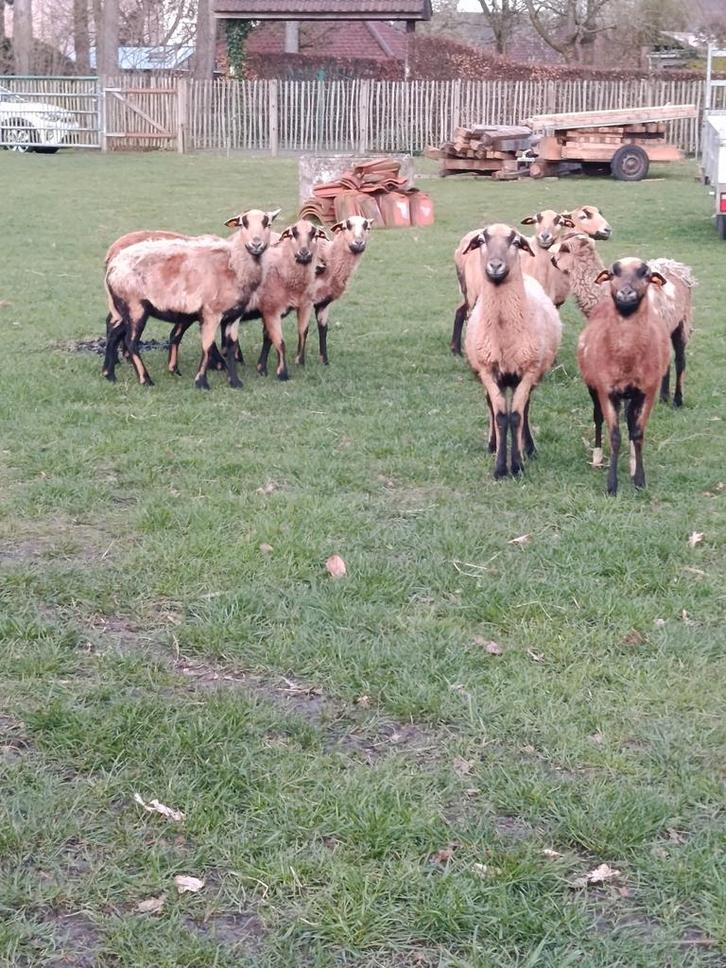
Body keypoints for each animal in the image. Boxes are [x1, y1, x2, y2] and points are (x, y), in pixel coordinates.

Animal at [103, 208, 280, 390]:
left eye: (268, 224)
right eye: (243, 224)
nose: (256, 244)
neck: (233, 266)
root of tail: (113, 265)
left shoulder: (234, 316)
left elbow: (231, 346)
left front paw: (235, 382)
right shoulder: (211, 313)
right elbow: (207, 346)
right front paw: (201, 382)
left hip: (122, 307)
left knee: (114, 333)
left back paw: (109, 374)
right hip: (134, 306)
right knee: (130, 341)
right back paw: (146, 380)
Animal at [463, 223, 563, 478]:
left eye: (516, 242)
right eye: (481, 240)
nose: (495, 266)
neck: (503, 333)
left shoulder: (528, 370)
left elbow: (516, 416)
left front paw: (516, 466)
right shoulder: (488, 370)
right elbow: (500, 416)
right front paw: (500, 468)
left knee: (525, 408)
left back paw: (528, 448)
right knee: (491, 405)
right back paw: (492, 444)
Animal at [550, 233, 696, 407]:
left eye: (565, 248)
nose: (552, 259)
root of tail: (676, 266)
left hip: (683, 320)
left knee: (680, 360)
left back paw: (677, 401)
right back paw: (663, 398)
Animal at [577, 258, 671, 495]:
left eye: (645, 274)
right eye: (613, 273)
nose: (626, 294)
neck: (626, 359)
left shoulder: (648, 391)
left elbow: (637, 433)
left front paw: (639, 480)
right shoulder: (606, 391)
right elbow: (615, 435)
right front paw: (611, 486)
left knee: (629, 422)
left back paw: (631, 464)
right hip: (593, 387)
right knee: (598, 417)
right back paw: (597, 457)